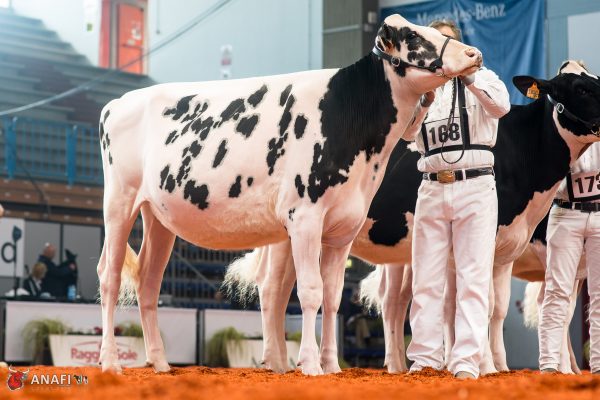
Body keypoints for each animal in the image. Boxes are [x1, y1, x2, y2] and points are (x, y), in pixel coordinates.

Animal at [96, 14, 482, 375]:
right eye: (414, 37)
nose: (473, 54)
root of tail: (117, 103)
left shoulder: (343, 228)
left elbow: (332, 297)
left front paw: (332, 366)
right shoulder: (305, 217)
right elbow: (309, 292)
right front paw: (309, 364)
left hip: (158, 215)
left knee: (148, 282)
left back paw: (160, 362)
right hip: (119, 201)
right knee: (109, 277)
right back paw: (110, 361)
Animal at [225, 60, 600, 374]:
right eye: (581, 88)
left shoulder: (507, 245)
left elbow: (495, 307)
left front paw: (495, 366)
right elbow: (477, 302)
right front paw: (484, 365)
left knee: (386, 301)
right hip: (294, 227)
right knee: (273, 289)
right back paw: (276, 362)